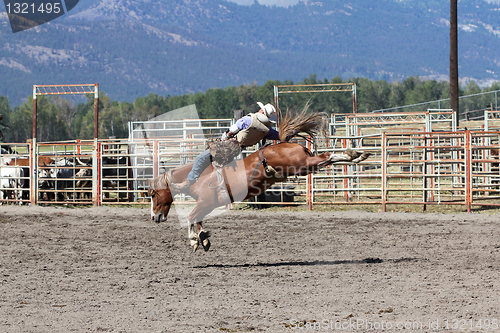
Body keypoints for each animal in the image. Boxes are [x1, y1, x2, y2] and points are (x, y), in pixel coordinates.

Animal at [146, 109, 370, 252]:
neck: (199, 177)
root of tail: (286, 142)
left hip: (302, 165)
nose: (154, 217)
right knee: (326, 159)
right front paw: (203, 239)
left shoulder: (204, 202)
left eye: (154, 194)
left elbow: (191, 218)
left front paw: (194, 241)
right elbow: (198, 220)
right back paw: (357, 155)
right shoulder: (207, 205)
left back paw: (354, 154)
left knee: (327, 157)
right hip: (305, 166)